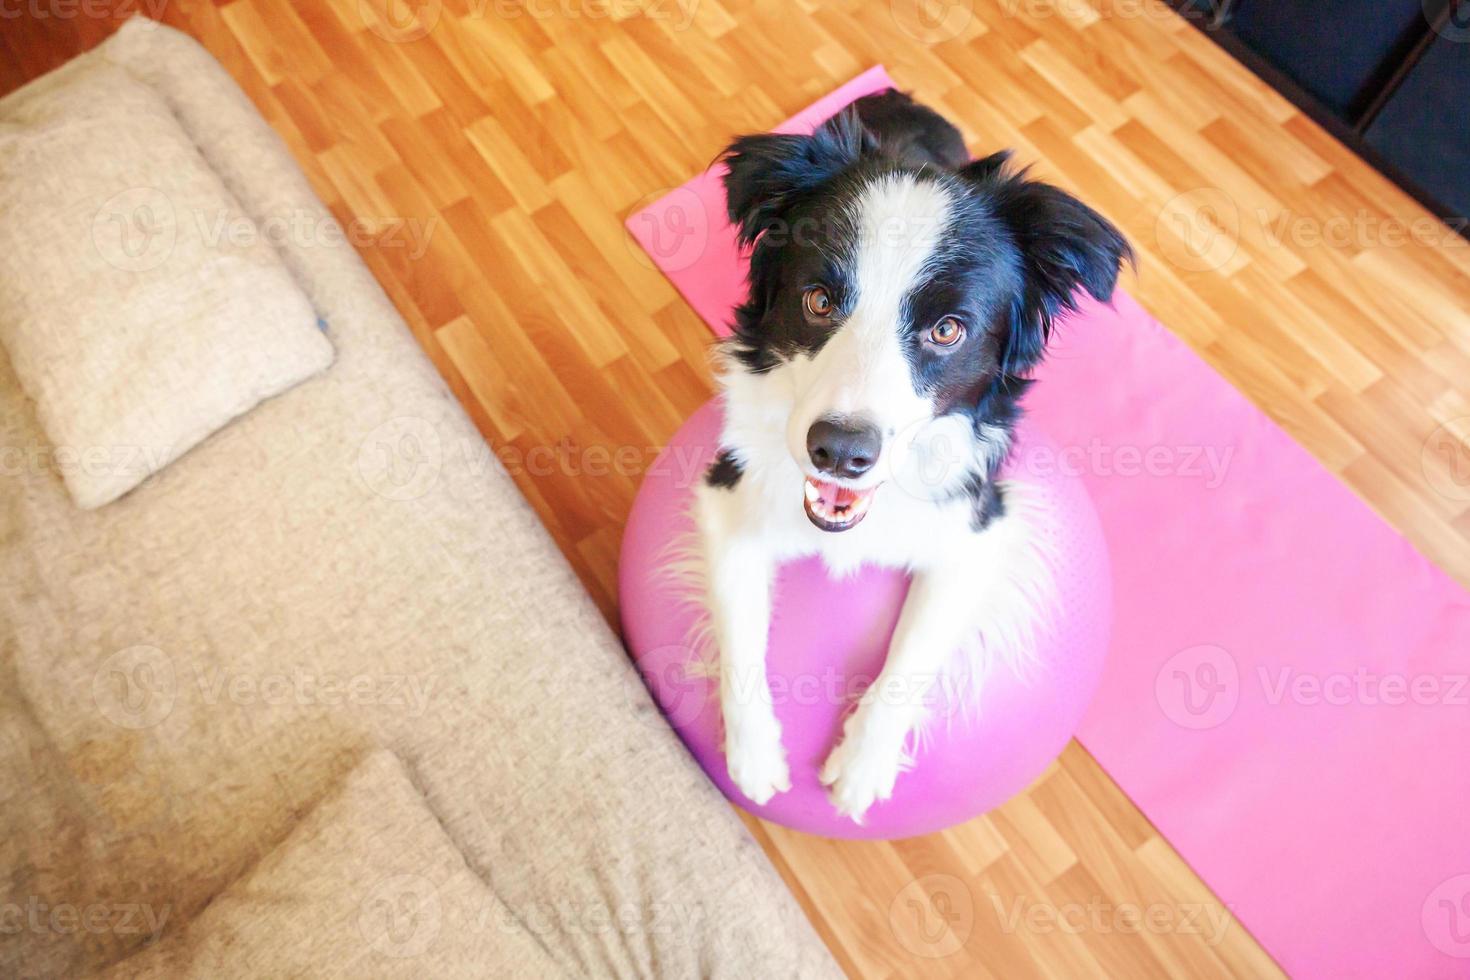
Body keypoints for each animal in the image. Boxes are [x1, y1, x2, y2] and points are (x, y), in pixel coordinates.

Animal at [693, 94, 1128, 828]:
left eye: (947, 329)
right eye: (818, 300)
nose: (840, 451)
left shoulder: (978, 529)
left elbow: (911, 656)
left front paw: (860, 769)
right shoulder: (728, 495)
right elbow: (740, 634)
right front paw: (754, 759)